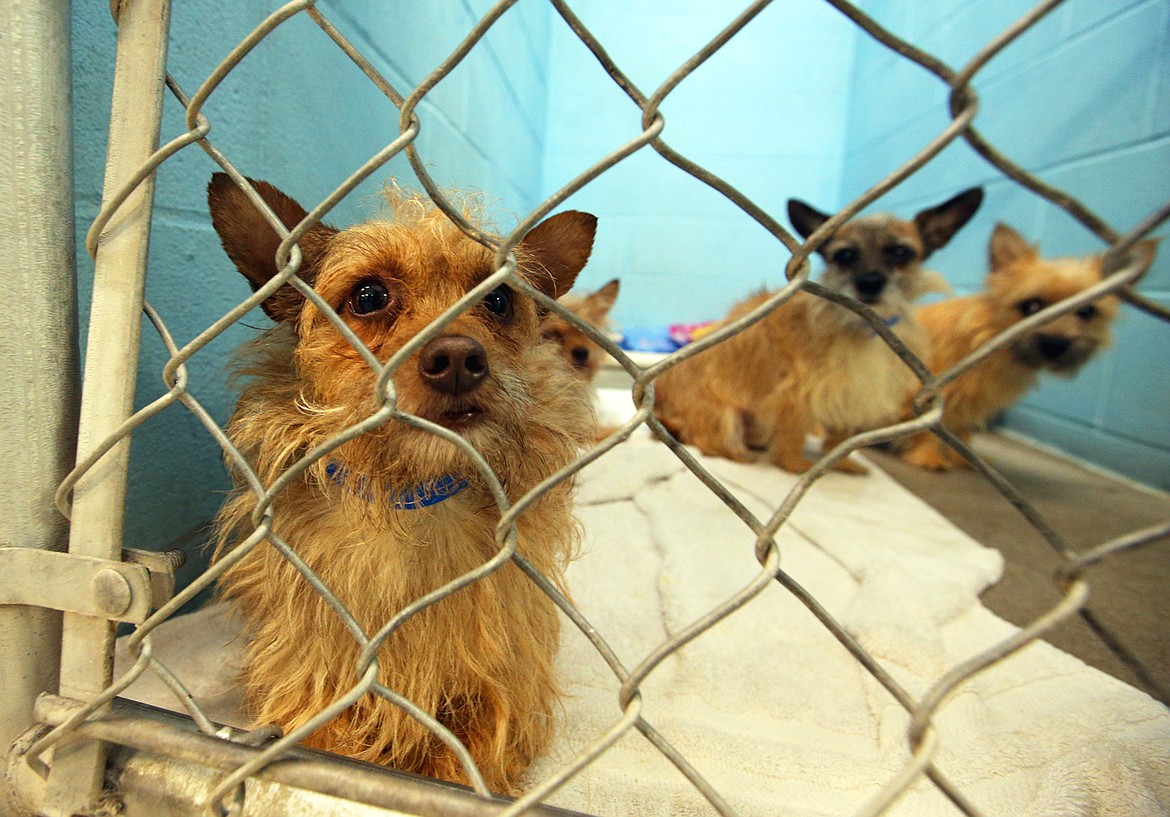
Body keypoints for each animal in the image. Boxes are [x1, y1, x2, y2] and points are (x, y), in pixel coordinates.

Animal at [205, 172, 599, 791]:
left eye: (499, 300)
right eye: (369, 296)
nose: (458, 357)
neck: (414, 494)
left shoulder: (495, 692)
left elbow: (464, 758)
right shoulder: (313, 681)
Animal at [655, 188, 982, 475]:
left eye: (901, 253)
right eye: (845, 255)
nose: (870, 282)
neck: (860, 325)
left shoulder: (854, 391)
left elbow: (842, 436)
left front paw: (842, 464)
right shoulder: (797, 390)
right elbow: (793, 433)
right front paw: (795, 465)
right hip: (725, 417)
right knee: (708, 442)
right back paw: (742, 455)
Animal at [898, 221, 1155, 470]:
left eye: (1086, 311)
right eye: (1031, 306)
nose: (1056, 344)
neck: (991, 345)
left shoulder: (973, 401)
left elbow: (961, 431)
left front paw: (965, 457)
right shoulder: (933, 393)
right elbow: (926, 430)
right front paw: (929, 456)